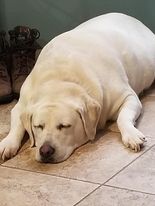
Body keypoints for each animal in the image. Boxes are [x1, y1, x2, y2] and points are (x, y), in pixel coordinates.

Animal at [0, 12, 155, 163]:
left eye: (64, 126)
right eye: (38, 126)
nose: (45, 151)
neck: (58, 80)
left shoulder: (128, 97)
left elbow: (122, 117)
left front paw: (132, 135)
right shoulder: (21, 105)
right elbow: (16, 126)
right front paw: (7, 143)